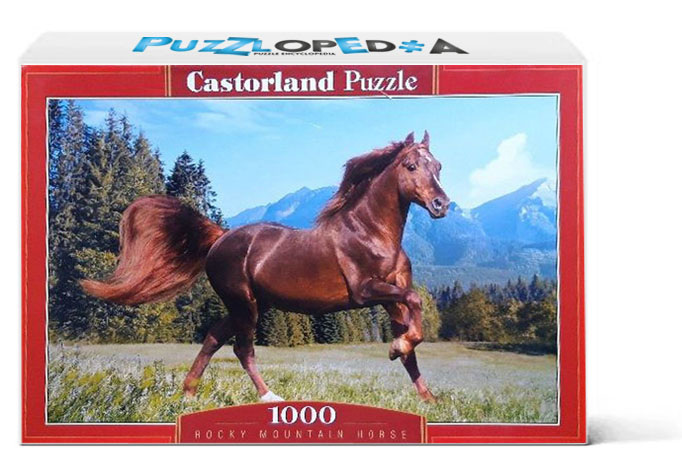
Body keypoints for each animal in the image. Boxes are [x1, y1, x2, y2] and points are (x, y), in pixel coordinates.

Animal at [81, 131, 450, 402]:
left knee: (214, 338)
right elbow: (415, 304)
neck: (371, 232)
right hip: (244, 303)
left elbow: (412, 340)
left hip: (248, 304)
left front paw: (428, 398)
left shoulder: (391, 295)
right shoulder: (366, 291)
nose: (441, 205)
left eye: (438, 166)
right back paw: (268, 396)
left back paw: (188, 394)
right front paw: (396, 348)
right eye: (411, 166)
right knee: (242, 348)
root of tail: (220, 238)